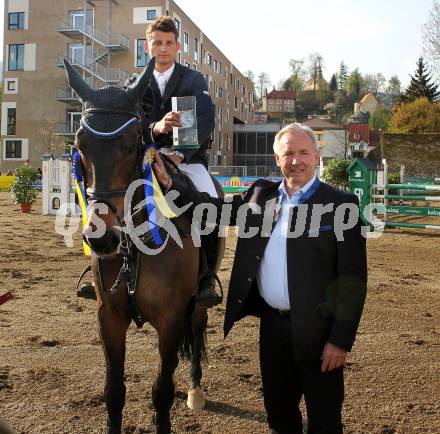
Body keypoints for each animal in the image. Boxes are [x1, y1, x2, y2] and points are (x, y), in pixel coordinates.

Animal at [62, 58, 217, 434]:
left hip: (197, 303)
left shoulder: (171, 317)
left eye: (133, 143)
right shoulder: (109, 317)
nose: (101, 237)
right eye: (80, 145)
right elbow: (114, 391)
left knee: (197, 329)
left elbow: (161, 392)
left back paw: (195, 391)